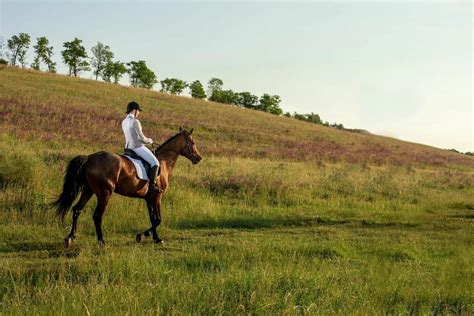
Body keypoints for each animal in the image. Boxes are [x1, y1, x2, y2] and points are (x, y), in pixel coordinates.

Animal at [53, 126, 202, 247]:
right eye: (193, 143)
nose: (199, 158)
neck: (163, 162)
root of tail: (89, 158)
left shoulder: (148, 198)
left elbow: (153, 218)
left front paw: (155, 238)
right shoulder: (157, 197)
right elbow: (158, 219)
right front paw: (143, 235)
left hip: (88, 190)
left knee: (77, 210)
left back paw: (70, 237)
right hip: (104, 194)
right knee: (97, 215)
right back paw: (101, 241)